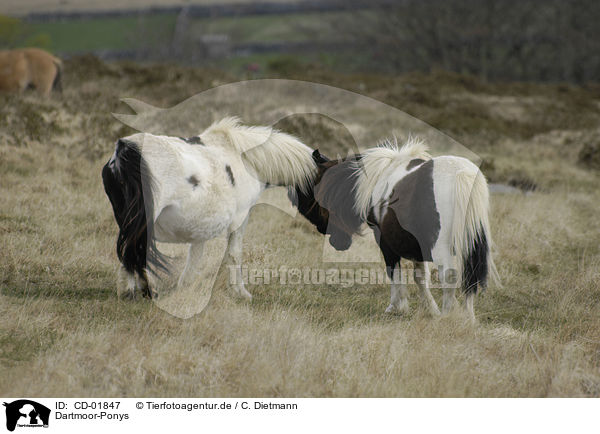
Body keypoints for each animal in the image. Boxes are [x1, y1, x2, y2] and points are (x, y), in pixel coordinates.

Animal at [102, 117, 318, 300]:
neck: (246, 160)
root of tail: (124, 150)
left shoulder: (201, 225)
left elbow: (195, 256)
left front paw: (186, 288)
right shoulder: (241, 219)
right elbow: (234, 254)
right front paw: (241, 293)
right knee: (133, 252)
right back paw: (136, 292)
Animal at [290, 137, 496, 320]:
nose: (330, 237)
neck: (378, 177)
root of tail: (460, 174)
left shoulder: (385, 240)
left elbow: (394, 271)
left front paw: (397, 307)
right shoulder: (416, 246)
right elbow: (420, 277)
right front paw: (430, 309)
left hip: (441, 248)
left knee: (450, 276)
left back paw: (446, 317)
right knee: (470, 278)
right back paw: (467, 319)